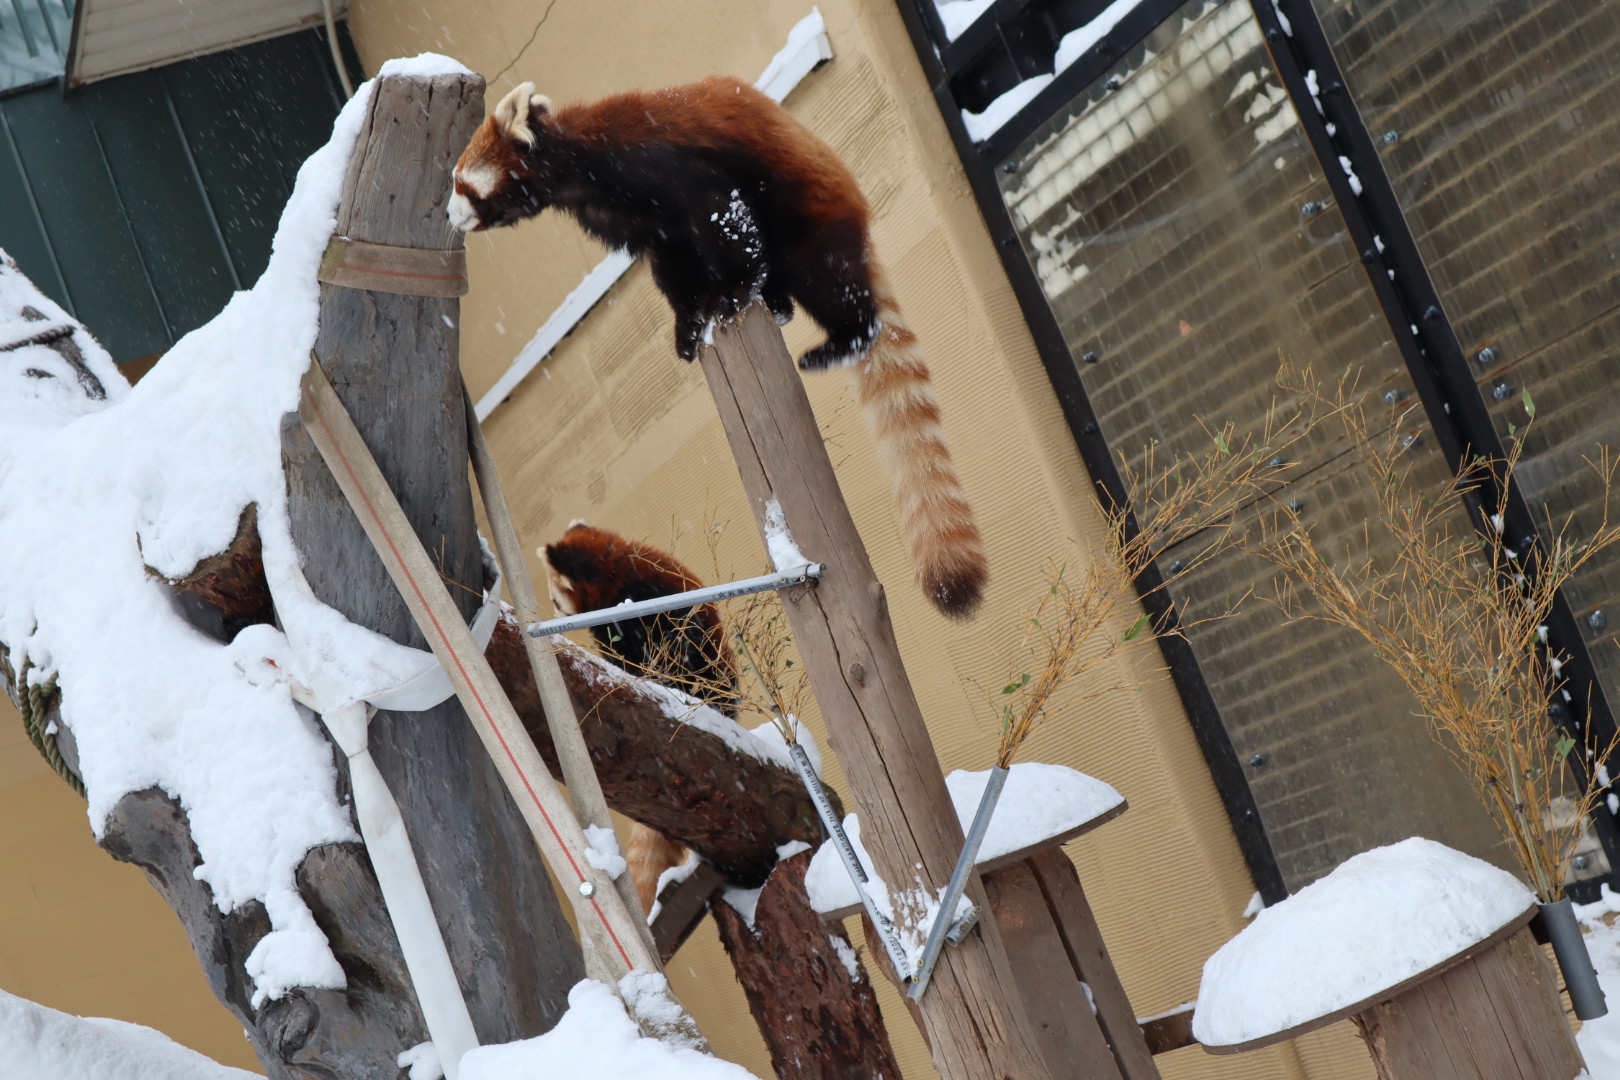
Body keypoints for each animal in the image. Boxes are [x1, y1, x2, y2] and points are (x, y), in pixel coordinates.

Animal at [453, 74, 984, 615]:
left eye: (460, 183)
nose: (450, 216)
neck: (580, 169)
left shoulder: (663, 165)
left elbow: (723, 220)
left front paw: (731, 293)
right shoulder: (641, 222)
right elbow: (675, 267)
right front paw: (689, 328)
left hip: (809, 214)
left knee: (830, 281)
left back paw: (834, 342)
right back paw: (777, 304)